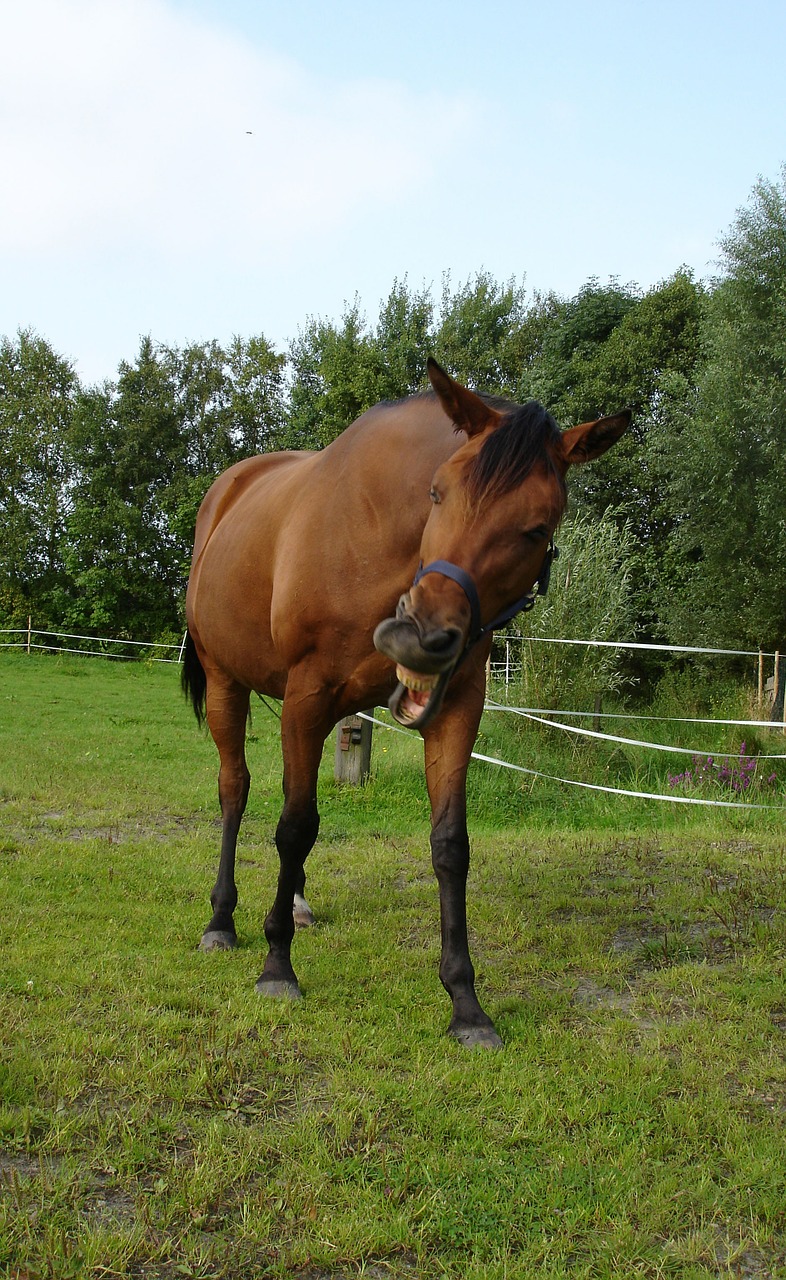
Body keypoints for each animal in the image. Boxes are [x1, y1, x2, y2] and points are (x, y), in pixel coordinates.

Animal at [181, 360, 632, 1049]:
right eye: (438, 492)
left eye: (537, 528)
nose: (417, 637)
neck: (375, 539)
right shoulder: (307, 697)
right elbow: (294, 827)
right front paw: (277, 966)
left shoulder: (453, 709)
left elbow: (449, 845)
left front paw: (466, 1004)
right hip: (226, 681)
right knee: (236, 790)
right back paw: (223, 920)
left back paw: (297, 904)